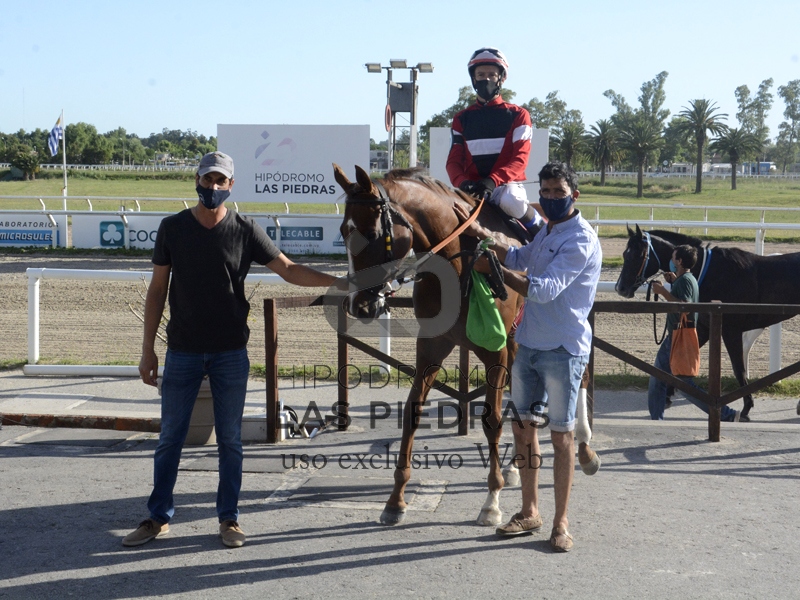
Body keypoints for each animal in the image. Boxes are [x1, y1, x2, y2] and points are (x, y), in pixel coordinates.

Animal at [615, 224, 800, 419]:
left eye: (638, 255)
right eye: (625, 254)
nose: (621, 288)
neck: (710, 272)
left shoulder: (730, 329)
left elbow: (739, 369)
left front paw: (747, 407)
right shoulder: (704, 326)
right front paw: (667, 395)